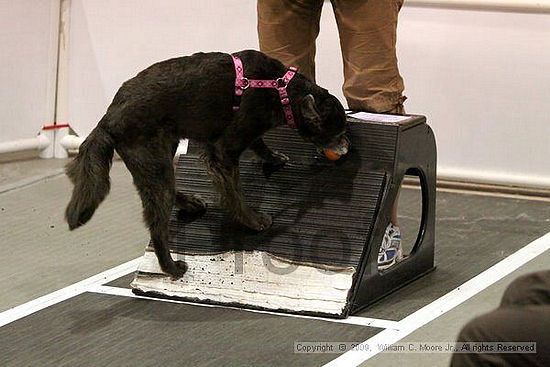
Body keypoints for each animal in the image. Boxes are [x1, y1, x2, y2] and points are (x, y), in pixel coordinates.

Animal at [64, 49, 350, 278]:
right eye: (337, 133)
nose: (347, 146)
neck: (279, 90)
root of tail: (107, 119)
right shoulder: (223, 152)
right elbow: (234, 193)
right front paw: (253, 221)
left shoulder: (237, 138)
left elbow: (259, 144)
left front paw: (274, 157)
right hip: (155, 162)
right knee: (157, 225)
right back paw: (172, 268)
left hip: (161, 155)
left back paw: (191, 203)